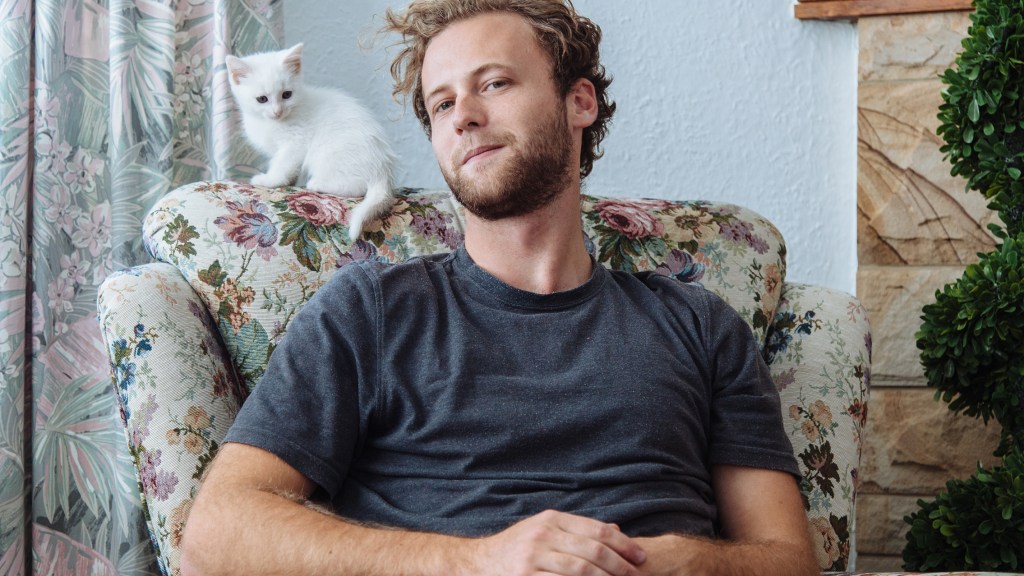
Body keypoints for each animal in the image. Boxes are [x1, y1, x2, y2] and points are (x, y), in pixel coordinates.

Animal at [226, 43, 397, 240]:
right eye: (262, 99)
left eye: (287, 95)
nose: (278, 111)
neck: (273, 122)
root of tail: (383, 170)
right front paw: (289, 181)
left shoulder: (295, 142)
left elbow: (282, 164)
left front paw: (270, 180)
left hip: (328, 155)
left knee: (359, 187)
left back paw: (318, 183)